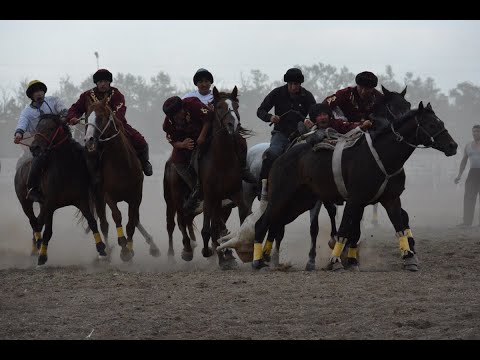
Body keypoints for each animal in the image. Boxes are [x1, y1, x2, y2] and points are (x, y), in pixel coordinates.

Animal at [14, 114, 108, 266]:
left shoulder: (81, 200)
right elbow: (48, 231)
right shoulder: (50, 204)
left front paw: (101, 249)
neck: (66, 169)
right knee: (34, 222)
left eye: (51, 128)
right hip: (26, 203)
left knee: (38, 222)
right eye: (37, 127)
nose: (34, 147)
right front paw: (42, 256)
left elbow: (92, 222)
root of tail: (21, 168)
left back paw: (36, 247)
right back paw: (37, 247)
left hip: (42, 205)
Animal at [82, 96, 158, 262]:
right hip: (98, 198)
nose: (89, 140)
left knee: (135, 220)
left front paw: (129, 249)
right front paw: (123, 248)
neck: (121, 164)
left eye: (100, 117)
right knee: (104, 224)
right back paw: (105, 255)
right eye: (86, 118)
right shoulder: (108, 196)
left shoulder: (136, 196)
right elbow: (117, 216)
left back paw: (152, 246)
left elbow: (131, 222)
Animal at [198, 86, 251, 268]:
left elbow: (244, 219)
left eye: (236, 105)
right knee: (213, 228)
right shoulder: (209, 197)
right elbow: (207, 230)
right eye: (219, 106)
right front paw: (207, 252)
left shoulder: (237, 194)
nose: (232, 124)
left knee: (217, 227)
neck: (222, 161)